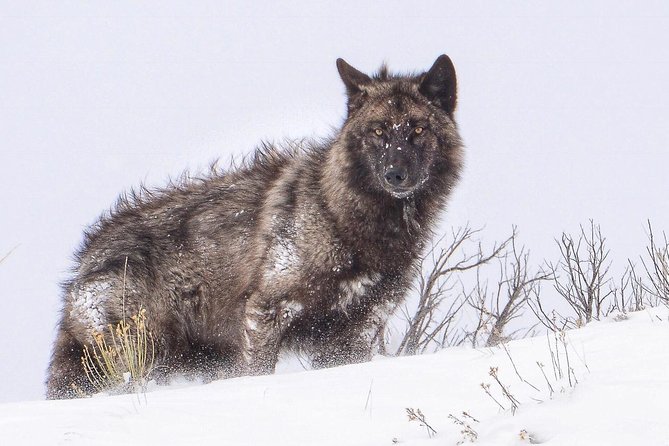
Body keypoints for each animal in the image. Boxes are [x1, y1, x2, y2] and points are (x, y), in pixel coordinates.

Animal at [47, 54, 462, 398]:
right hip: (136, 357)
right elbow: (258, 372)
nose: (396, 175)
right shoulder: (266, 311)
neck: (344, 219)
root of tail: (83, 261)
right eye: (378, 131)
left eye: (418, 129)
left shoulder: (354, 332)